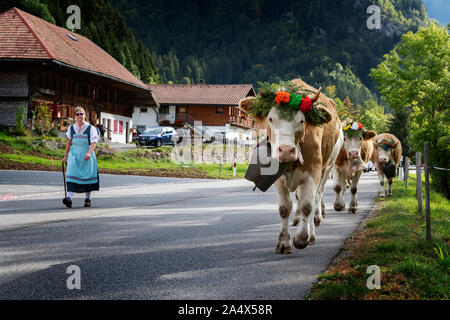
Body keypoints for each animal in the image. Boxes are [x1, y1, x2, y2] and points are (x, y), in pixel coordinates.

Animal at [237, 79, 342, 254]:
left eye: (302, 120)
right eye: (270, 118)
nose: (286, 150)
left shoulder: (314, 171)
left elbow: (307, 205)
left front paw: (302, 238)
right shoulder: (278, 178)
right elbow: (285, 208)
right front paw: (284, 242)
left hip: (327, 168)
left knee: (316, 197)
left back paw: (313, 228)